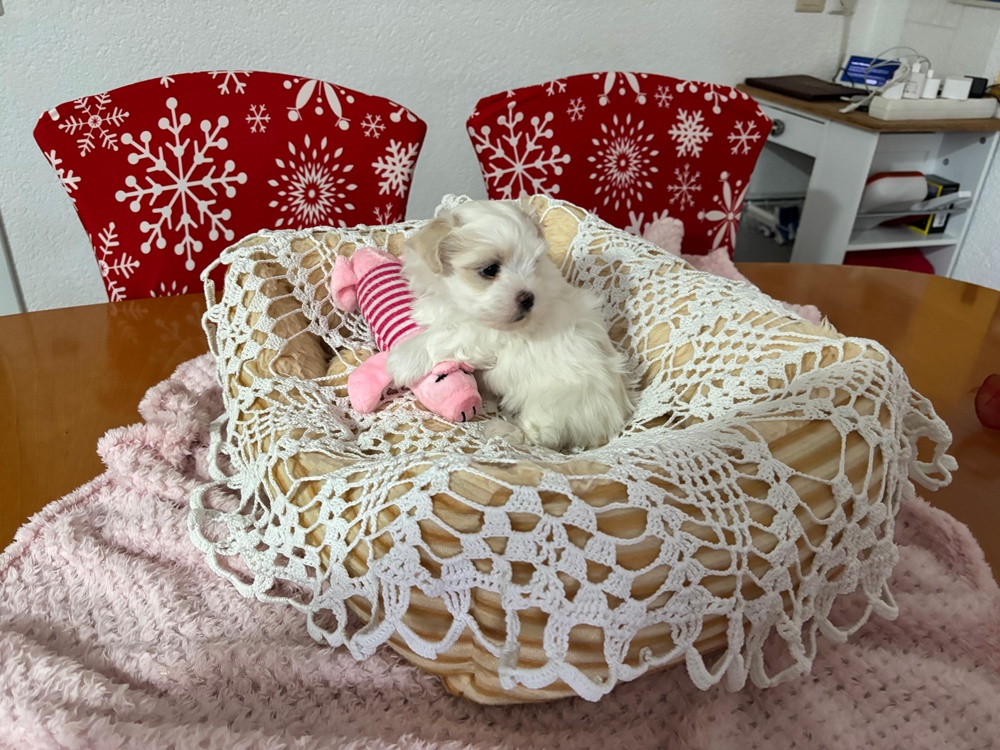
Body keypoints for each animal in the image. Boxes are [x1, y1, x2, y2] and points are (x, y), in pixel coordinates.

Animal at [385, 199, 633, 451]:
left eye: (534, 264)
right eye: (490, 269)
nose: (529, 298)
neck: (458, 303)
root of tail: (614, 419)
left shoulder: (491, 334)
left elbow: (451, 334)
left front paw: (403, 359)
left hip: (558, 401)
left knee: (540, 433)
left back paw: (504, 430)